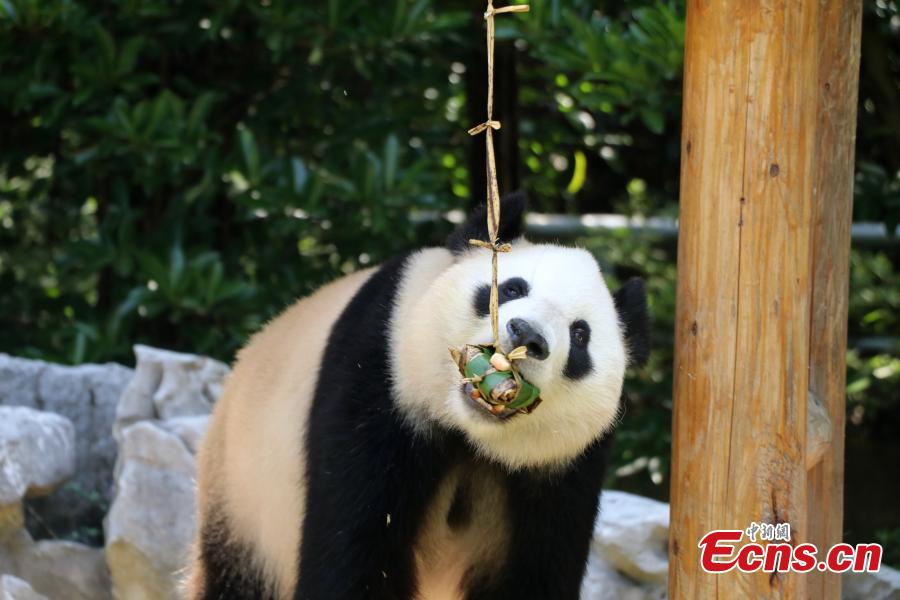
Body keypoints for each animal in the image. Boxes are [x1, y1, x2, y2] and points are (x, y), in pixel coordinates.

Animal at [186, 193, 649, 600]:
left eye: (580, 335)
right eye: (512, 288)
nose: (527, 335)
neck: (469, 435)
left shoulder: (567, 470)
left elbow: (537, 574)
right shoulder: (379, 379)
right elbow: (356, 548)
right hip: (245, 504)